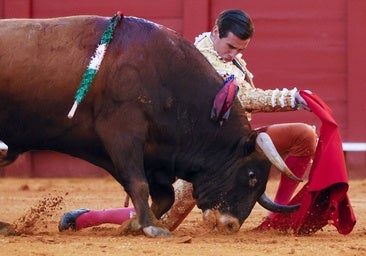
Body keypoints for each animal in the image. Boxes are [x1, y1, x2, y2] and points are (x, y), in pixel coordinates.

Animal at [0, 15, 298, 237]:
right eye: (252, 176)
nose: (230, 225)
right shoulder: (123, 135)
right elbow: (139, 183)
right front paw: (151, 227)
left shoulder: (156, 157)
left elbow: (165, 196)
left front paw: (134, 224)